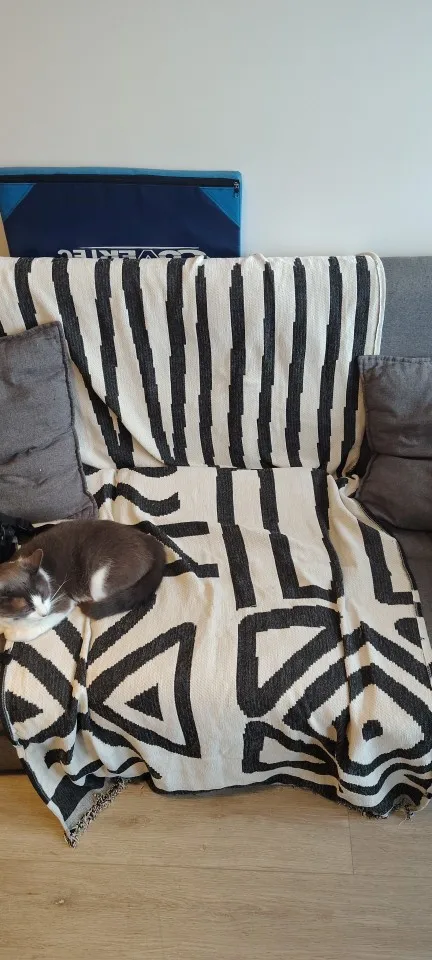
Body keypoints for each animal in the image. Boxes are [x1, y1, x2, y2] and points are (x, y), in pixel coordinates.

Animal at [0, 520, 165, 644]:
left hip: (99, 582)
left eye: (44, 594)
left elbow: (29, 630)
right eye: (27, 607)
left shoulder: (61, 599)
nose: (44, 613)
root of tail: (149, 540)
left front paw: (12, 632)